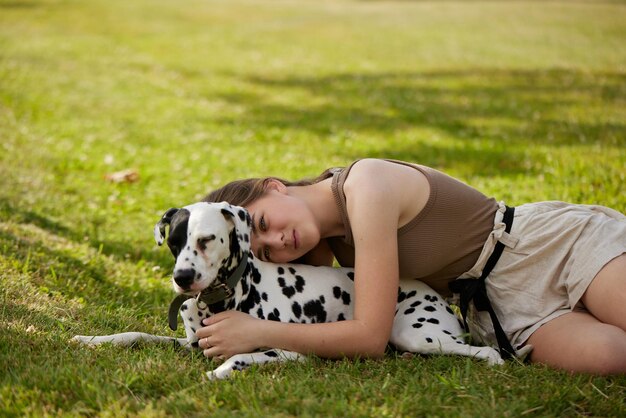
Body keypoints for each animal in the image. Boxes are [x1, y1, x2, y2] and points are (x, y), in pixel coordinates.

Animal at [74, 201, 502, 380]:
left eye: (207, 239)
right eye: (174, 242)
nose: (182, 278)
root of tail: (435, 294)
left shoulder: (287, 351)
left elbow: (239, 358)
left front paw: (219, 373)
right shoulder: (191, 343)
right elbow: (134, 335)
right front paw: (91, 339)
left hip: (417, 333)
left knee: (489, 352)